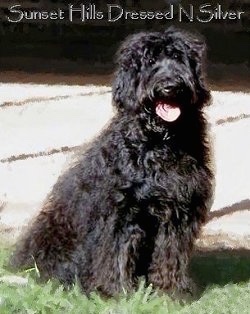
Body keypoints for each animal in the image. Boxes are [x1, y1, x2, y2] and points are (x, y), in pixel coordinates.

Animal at [9, 27, 213, 296]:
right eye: (150, 61)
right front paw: (116, 292)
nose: (170, 86)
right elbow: (116, 252)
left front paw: (170, 291)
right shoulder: (120, 210)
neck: (159, 142)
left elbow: (171, 252)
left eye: (179, 59)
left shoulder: (179, 211)